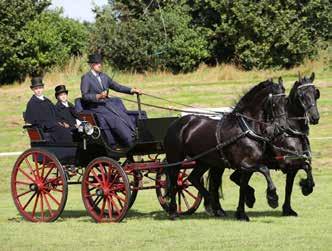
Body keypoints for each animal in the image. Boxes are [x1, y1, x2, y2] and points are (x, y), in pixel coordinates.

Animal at [165, 78, 286, 220]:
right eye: (275, 103)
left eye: (286, 100)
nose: (282, 127)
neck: (245, 128)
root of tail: (176, 123)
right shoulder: (244, 164)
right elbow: (265, 170)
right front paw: (272, 198)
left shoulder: (248, 167)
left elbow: (243, 187)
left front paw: (242, 212)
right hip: (175, 159)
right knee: (174, 182)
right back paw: (173, 212)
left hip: (204, 161)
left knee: (193, 178)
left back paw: (214, 206)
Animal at [226, 72, 320, 216]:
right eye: (301, 96)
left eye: (316, 93)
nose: (315, 117)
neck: (292, 131)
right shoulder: (288, 163)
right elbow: (305, 166)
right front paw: (305, 188)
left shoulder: (293, 166)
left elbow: (291, 185)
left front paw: (288, 208)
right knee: (239, 180)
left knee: (238, 180)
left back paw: (248, 199)